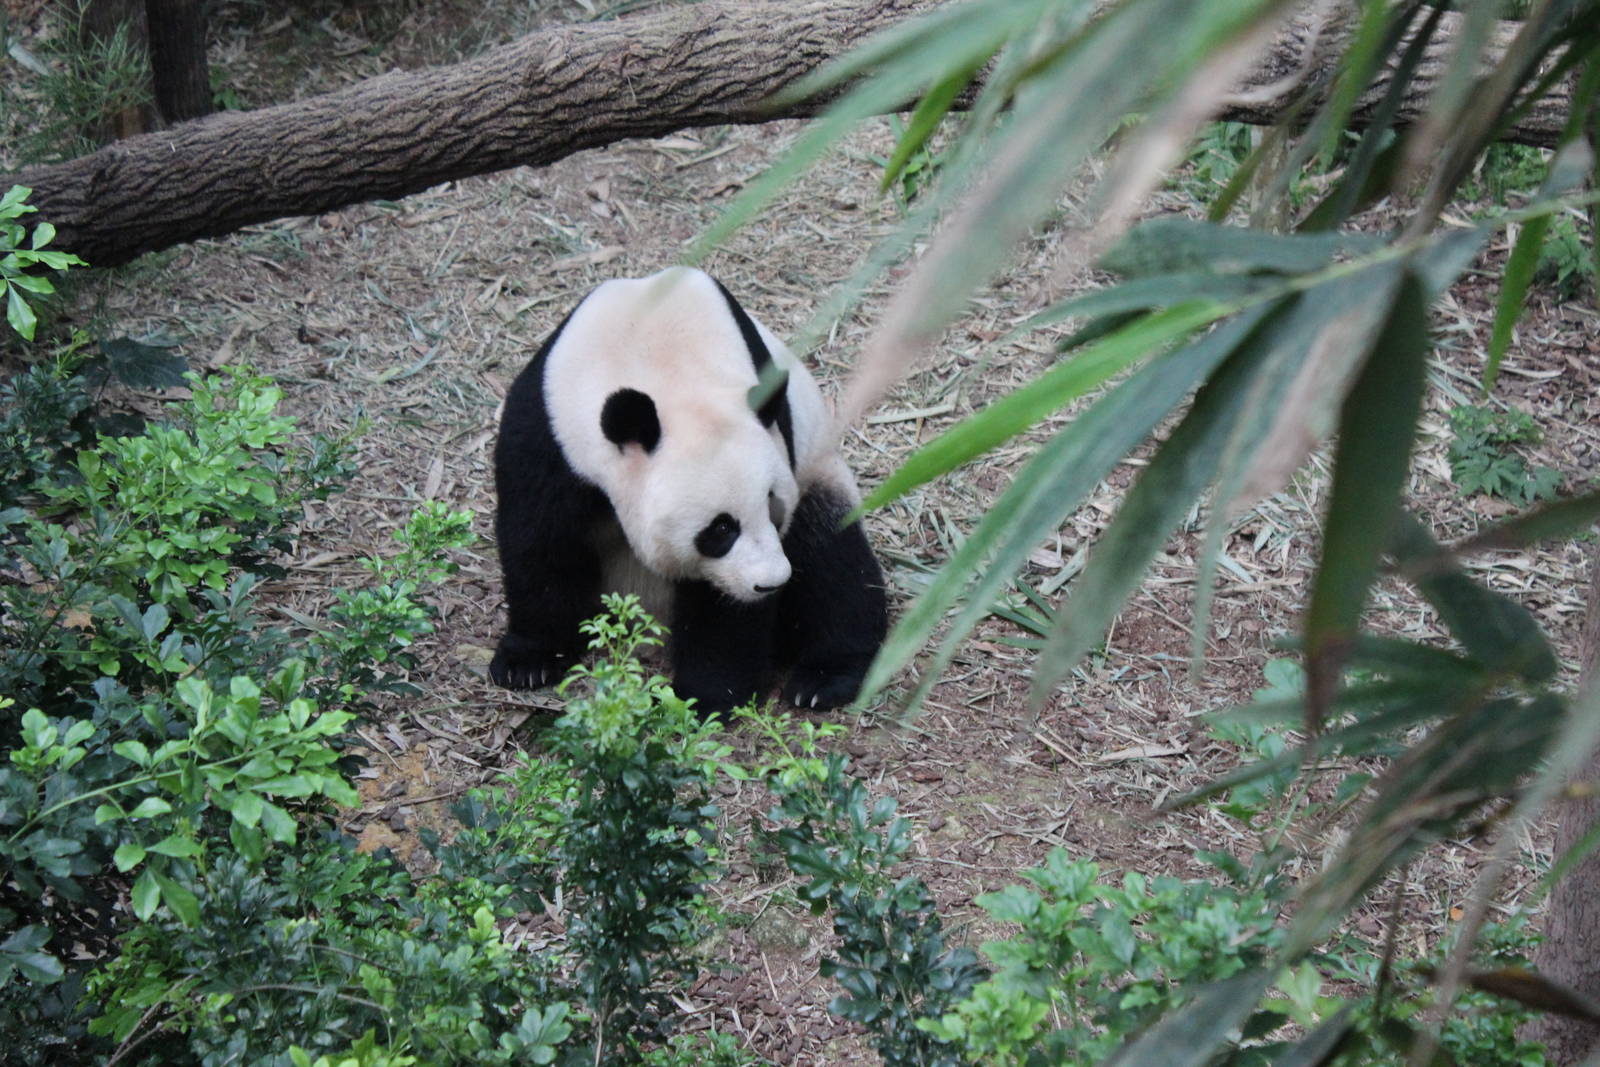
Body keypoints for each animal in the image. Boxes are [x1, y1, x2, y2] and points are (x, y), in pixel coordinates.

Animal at [489, 266, 888, 713]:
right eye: (720, 529)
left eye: (774, 509)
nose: (770, 583)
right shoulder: (548, 428)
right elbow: (540, 541)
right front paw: (529, 662)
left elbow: (721, 603)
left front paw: (701, 696)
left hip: (819, 471)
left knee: (833, 563)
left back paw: (823, 679)